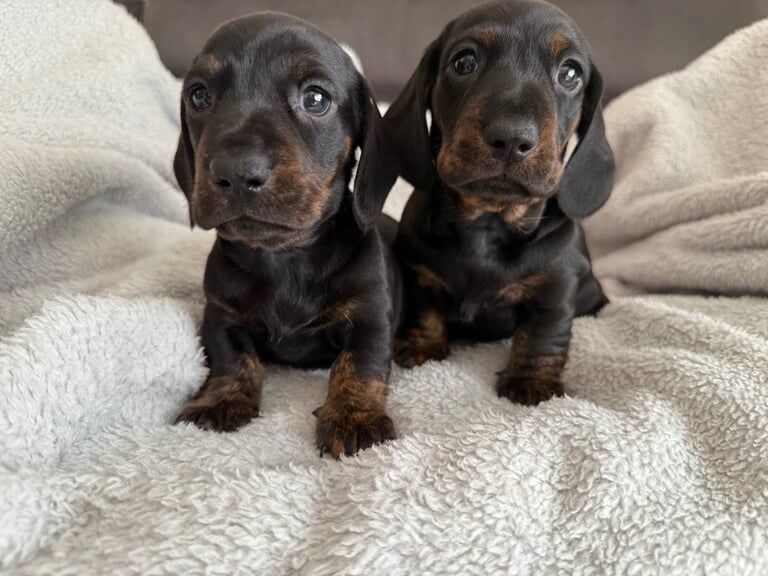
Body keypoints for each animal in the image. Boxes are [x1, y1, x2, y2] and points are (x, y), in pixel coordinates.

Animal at [172, 11, 402, 456]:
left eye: (315, 98)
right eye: (199, 96)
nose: (236, 172)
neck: (283, 257)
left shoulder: (370, 316)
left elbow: (359, 365)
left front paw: (353, 416)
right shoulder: (220, 314)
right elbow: (230, 359)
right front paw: (220, 400)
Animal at [388, 0, 616, 404]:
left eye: (570, 73)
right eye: (464, 62)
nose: (511, 138)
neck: (487, 220)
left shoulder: (555, 292)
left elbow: (542, 336)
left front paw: (530, 381)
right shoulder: (419, 274)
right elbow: (424, 311)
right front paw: (420, 346)